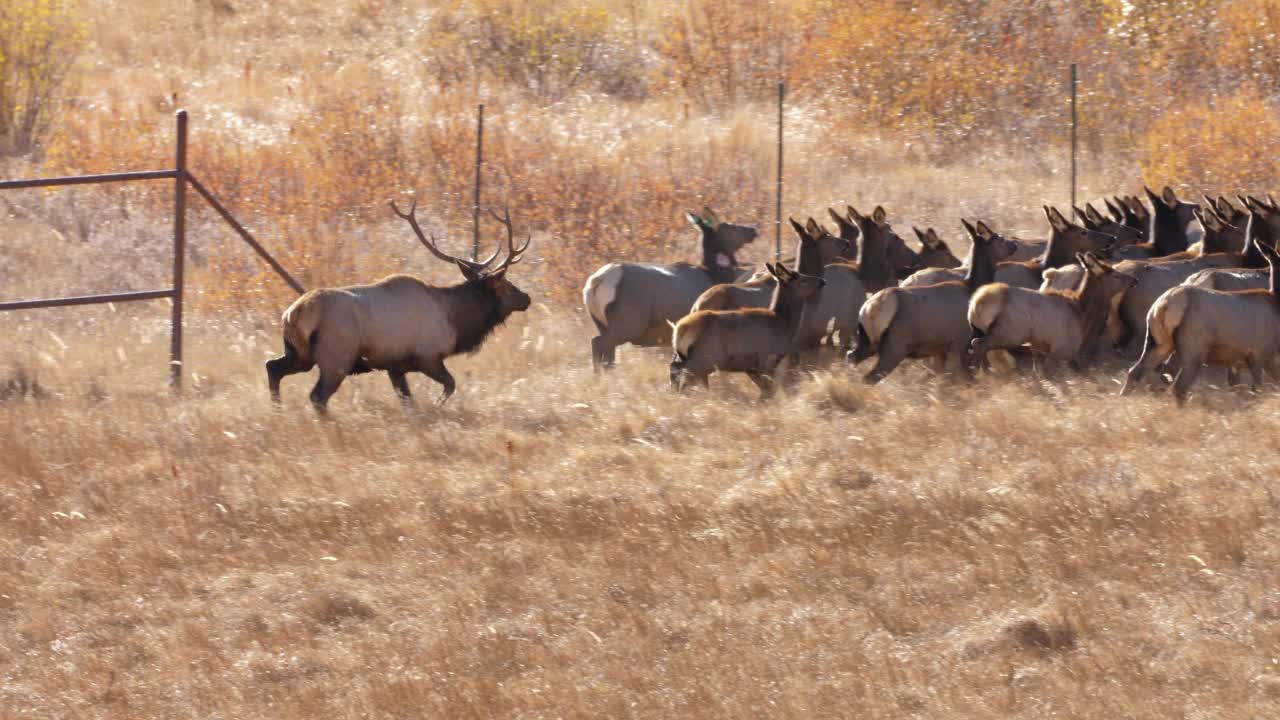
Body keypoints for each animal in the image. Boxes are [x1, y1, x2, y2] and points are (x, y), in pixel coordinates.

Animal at [267, 198, 532, 412]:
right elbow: (450, 385)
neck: (455, 323)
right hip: (336, 357)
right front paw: (435, 407)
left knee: (272, 367)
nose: (527, 298)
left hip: (300, 354)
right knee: (317, 396)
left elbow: (408, 401)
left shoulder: (395, 366)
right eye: (506, 284)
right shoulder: (428, 356)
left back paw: (278, 411)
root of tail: (293, 314)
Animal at [583, 204, 757, 366]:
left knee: (605, 350)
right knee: (599, 343)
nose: (753, 230)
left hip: (601, 322)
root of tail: (595, 283)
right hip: (628, 322)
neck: (714, 275)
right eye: (729, 227)